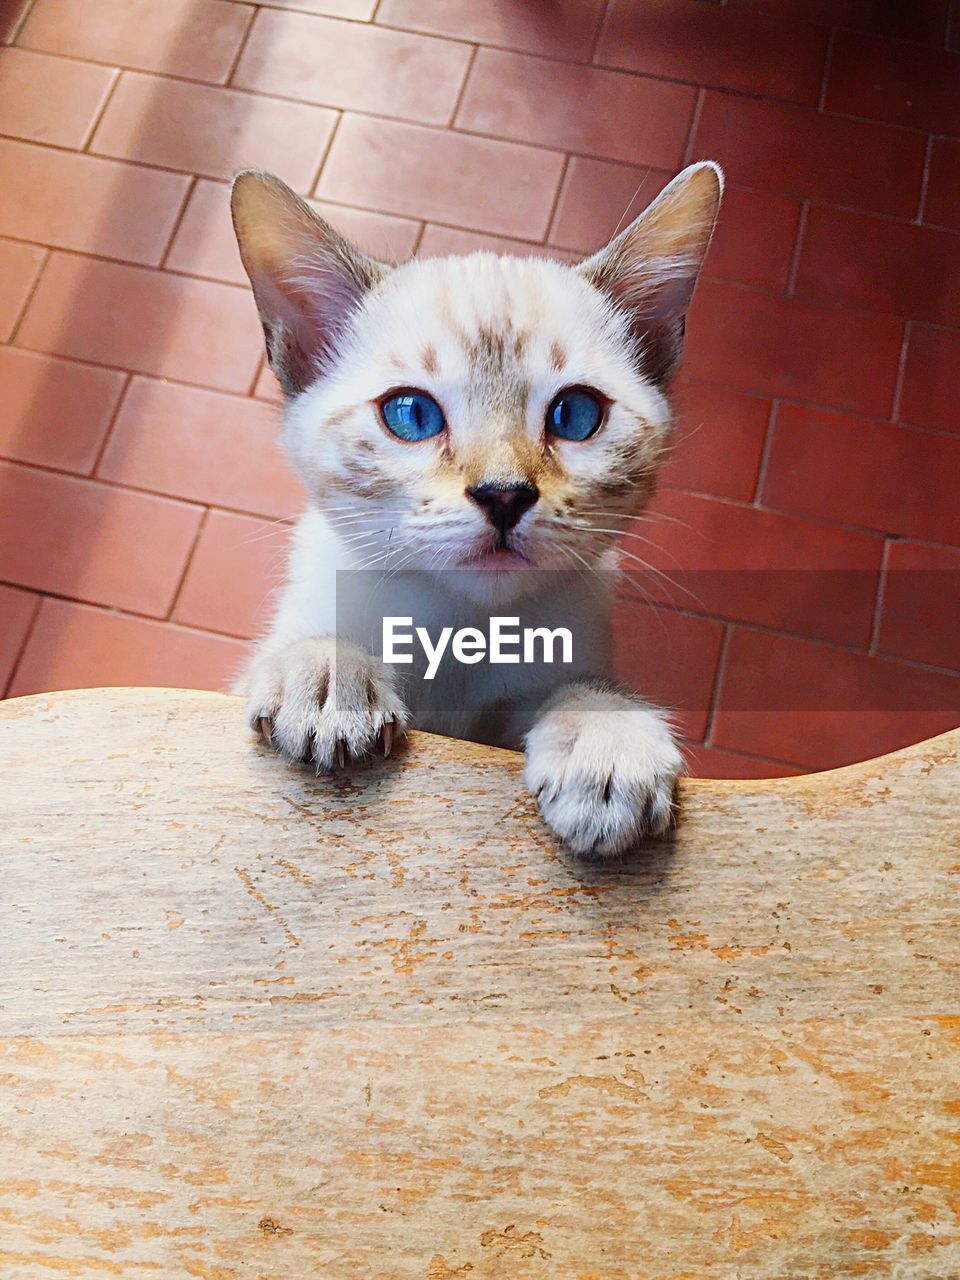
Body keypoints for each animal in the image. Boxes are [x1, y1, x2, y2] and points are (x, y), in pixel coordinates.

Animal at [231, 162, 721, 860]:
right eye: (411, 414)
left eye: (576, 414)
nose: (504, 494)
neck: (460, 631)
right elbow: (300, 647)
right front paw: (326, 674)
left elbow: (578, 688)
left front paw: (607, 738)